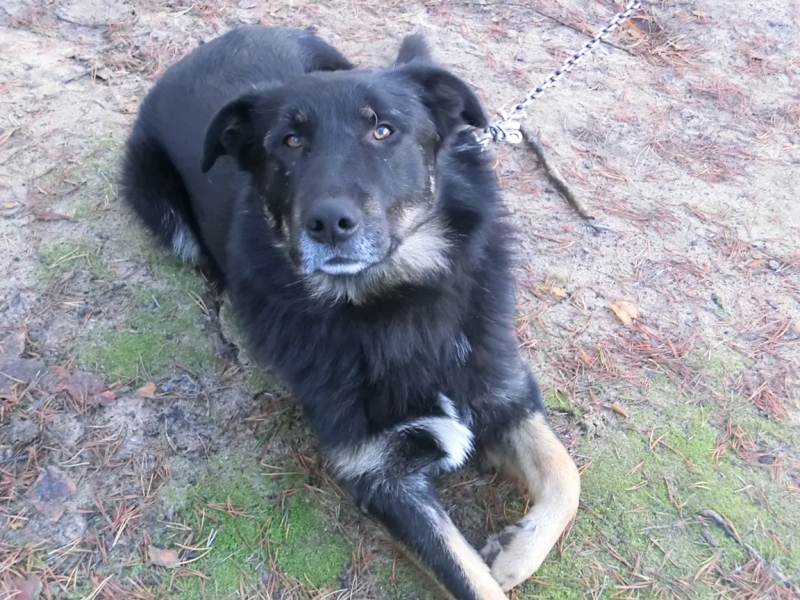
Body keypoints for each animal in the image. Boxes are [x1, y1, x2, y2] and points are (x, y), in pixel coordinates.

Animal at [120, 25, 580, 596]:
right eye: (289, 142)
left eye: (383, 131)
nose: (328, 223)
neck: (397, 302)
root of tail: (216, 41)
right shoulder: (380, 476)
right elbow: (469, 578)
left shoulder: (503, 392)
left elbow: (566, 474)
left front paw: (516, 552)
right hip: (161, 206)